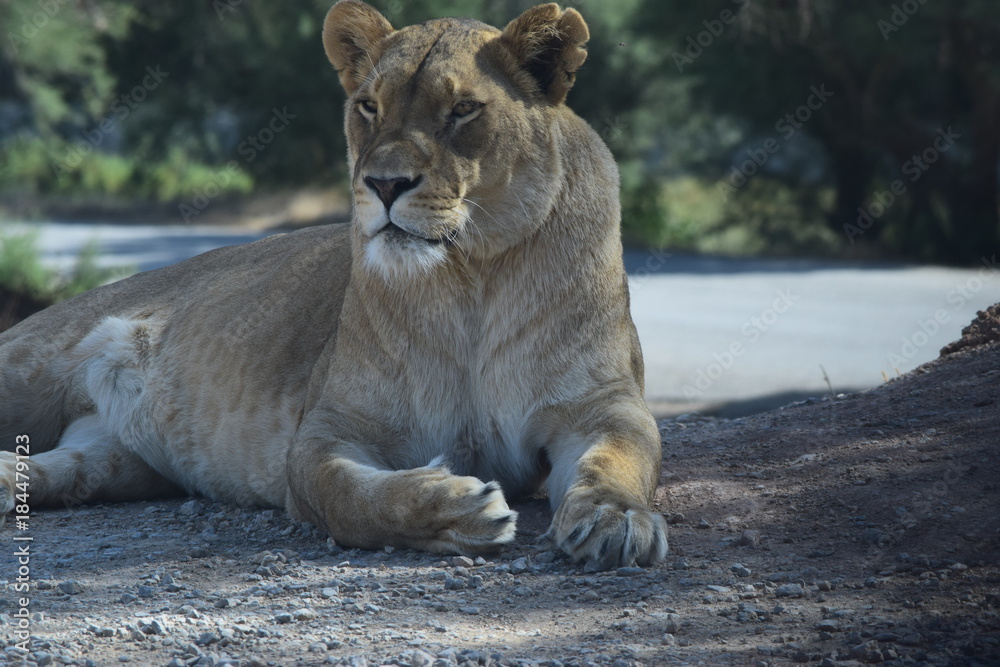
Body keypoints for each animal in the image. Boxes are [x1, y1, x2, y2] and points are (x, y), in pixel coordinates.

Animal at [0, 0, 668, 570]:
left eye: (462, 110)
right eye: (369, 106)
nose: (385, 184)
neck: (468, 277)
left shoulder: (599, 404)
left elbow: (619, 459)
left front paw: (614, 520)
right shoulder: (328, 427)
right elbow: (352, 498)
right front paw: (455, 508)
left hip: (116, 457)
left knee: (66, 468)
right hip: (25, 366)